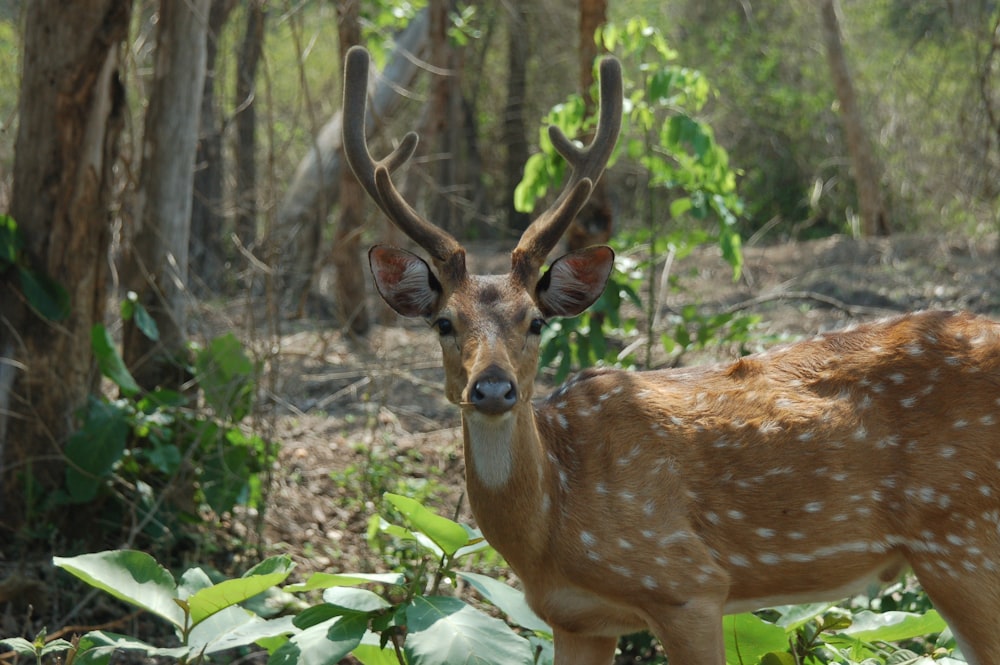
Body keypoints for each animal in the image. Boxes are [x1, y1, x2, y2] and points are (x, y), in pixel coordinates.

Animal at [342, 46, 1000, 664]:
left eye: (536, 321)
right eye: (443, 323)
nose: (494, 388)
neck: (551, 528)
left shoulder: (687, 583)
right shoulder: (573, 618)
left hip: (962, 537)